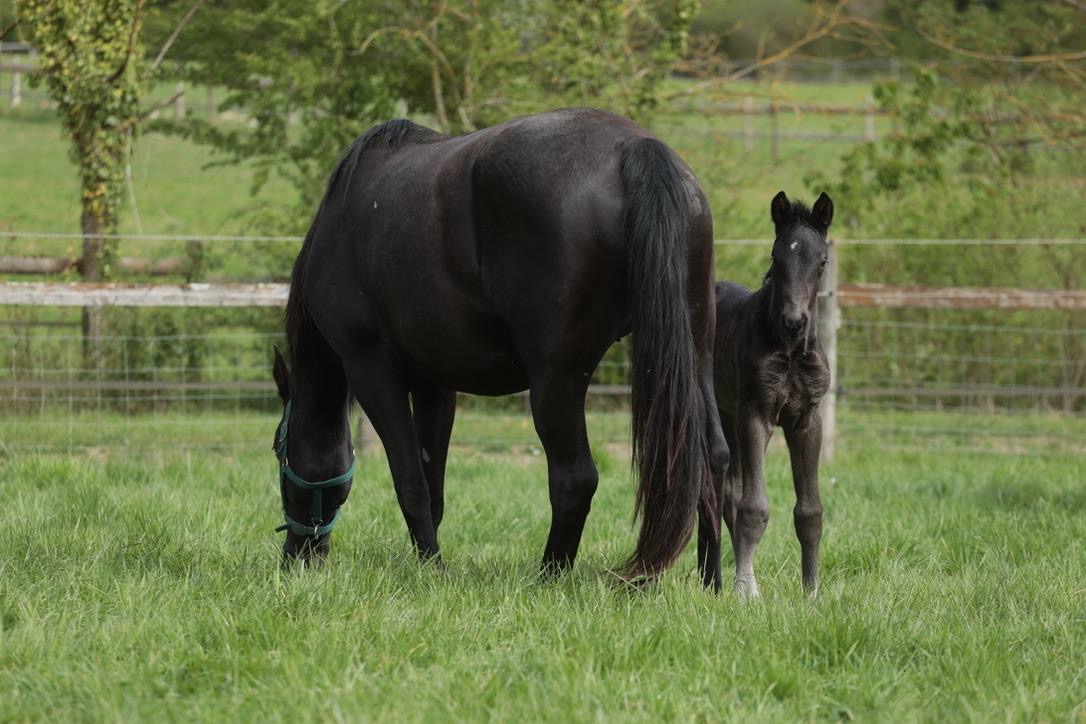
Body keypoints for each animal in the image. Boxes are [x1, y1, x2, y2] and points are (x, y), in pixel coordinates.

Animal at [270, 108, 728, 586]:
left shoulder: (371, 369)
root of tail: (634, 147)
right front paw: (430, 563)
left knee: (575, 479)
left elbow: (409, 481)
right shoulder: (435, 384)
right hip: (695, 354)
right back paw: (711, 583)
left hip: (556, 380)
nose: (296, 556)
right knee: (713, 458)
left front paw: (432, 570)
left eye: (279, 448)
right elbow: (432, 484)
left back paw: (549, 577)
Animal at [697, 191, 833, 596]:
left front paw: (812, 591)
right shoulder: (756, 414)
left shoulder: (807, 419)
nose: (794, 322)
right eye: (776, 257)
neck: (790, 353)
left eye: (822, 261)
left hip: (728, 414)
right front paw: (745, 590)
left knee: (730, 491)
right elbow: (754, 506)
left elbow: (810, 511)